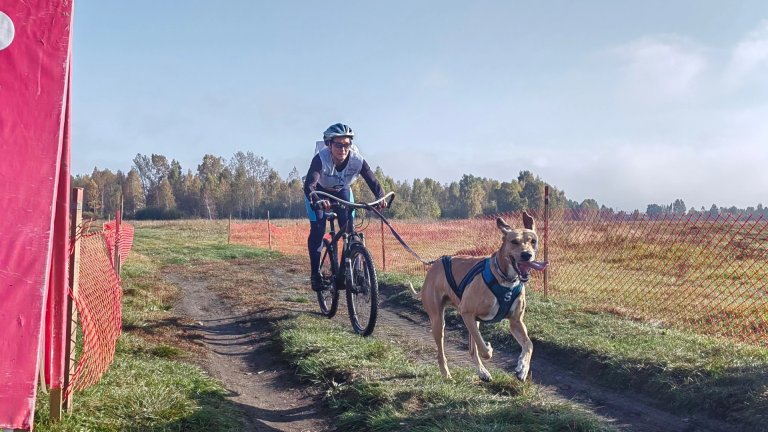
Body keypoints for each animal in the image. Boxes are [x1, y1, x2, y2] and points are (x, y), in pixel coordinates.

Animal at [414, 213, 544, 382]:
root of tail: (434, 265)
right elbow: (484, 350)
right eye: (514, 241)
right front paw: (489, 349)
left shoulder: (515, 321)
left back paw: (482, 372)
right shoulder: (466, 312)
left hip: (473, 321)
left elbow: (529, 345)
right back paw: (446, 374)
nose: (527, 255)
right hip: (439, 321)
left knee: (472, 348)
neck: (505, 279)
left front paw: (522, 368)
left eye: (533, 241)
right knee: (443, 352)